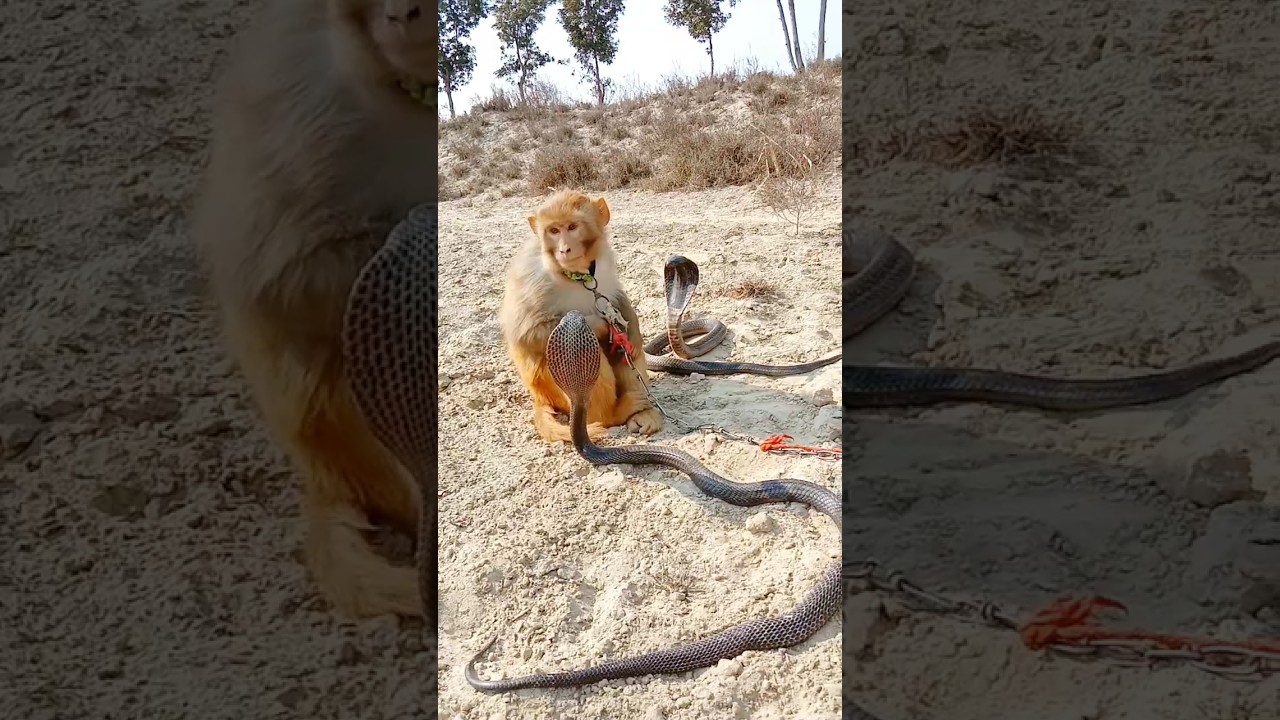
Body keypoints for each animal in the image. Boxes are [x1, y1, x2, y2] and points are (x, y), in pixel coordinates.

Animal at [497, 190, 664, 444]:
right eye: (554, 231)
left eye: (572, 227)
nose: (564, 249)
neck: (576, 276)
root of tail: (539, 397)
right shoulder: (531, 278)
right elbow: (526, 332)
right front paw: (601, 325)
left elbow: (616, 299)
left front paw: (630, 328)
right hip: (549, 386)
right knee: (584, 352)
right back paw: (613, 414)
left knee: (623, 352)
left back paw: (643, 413)